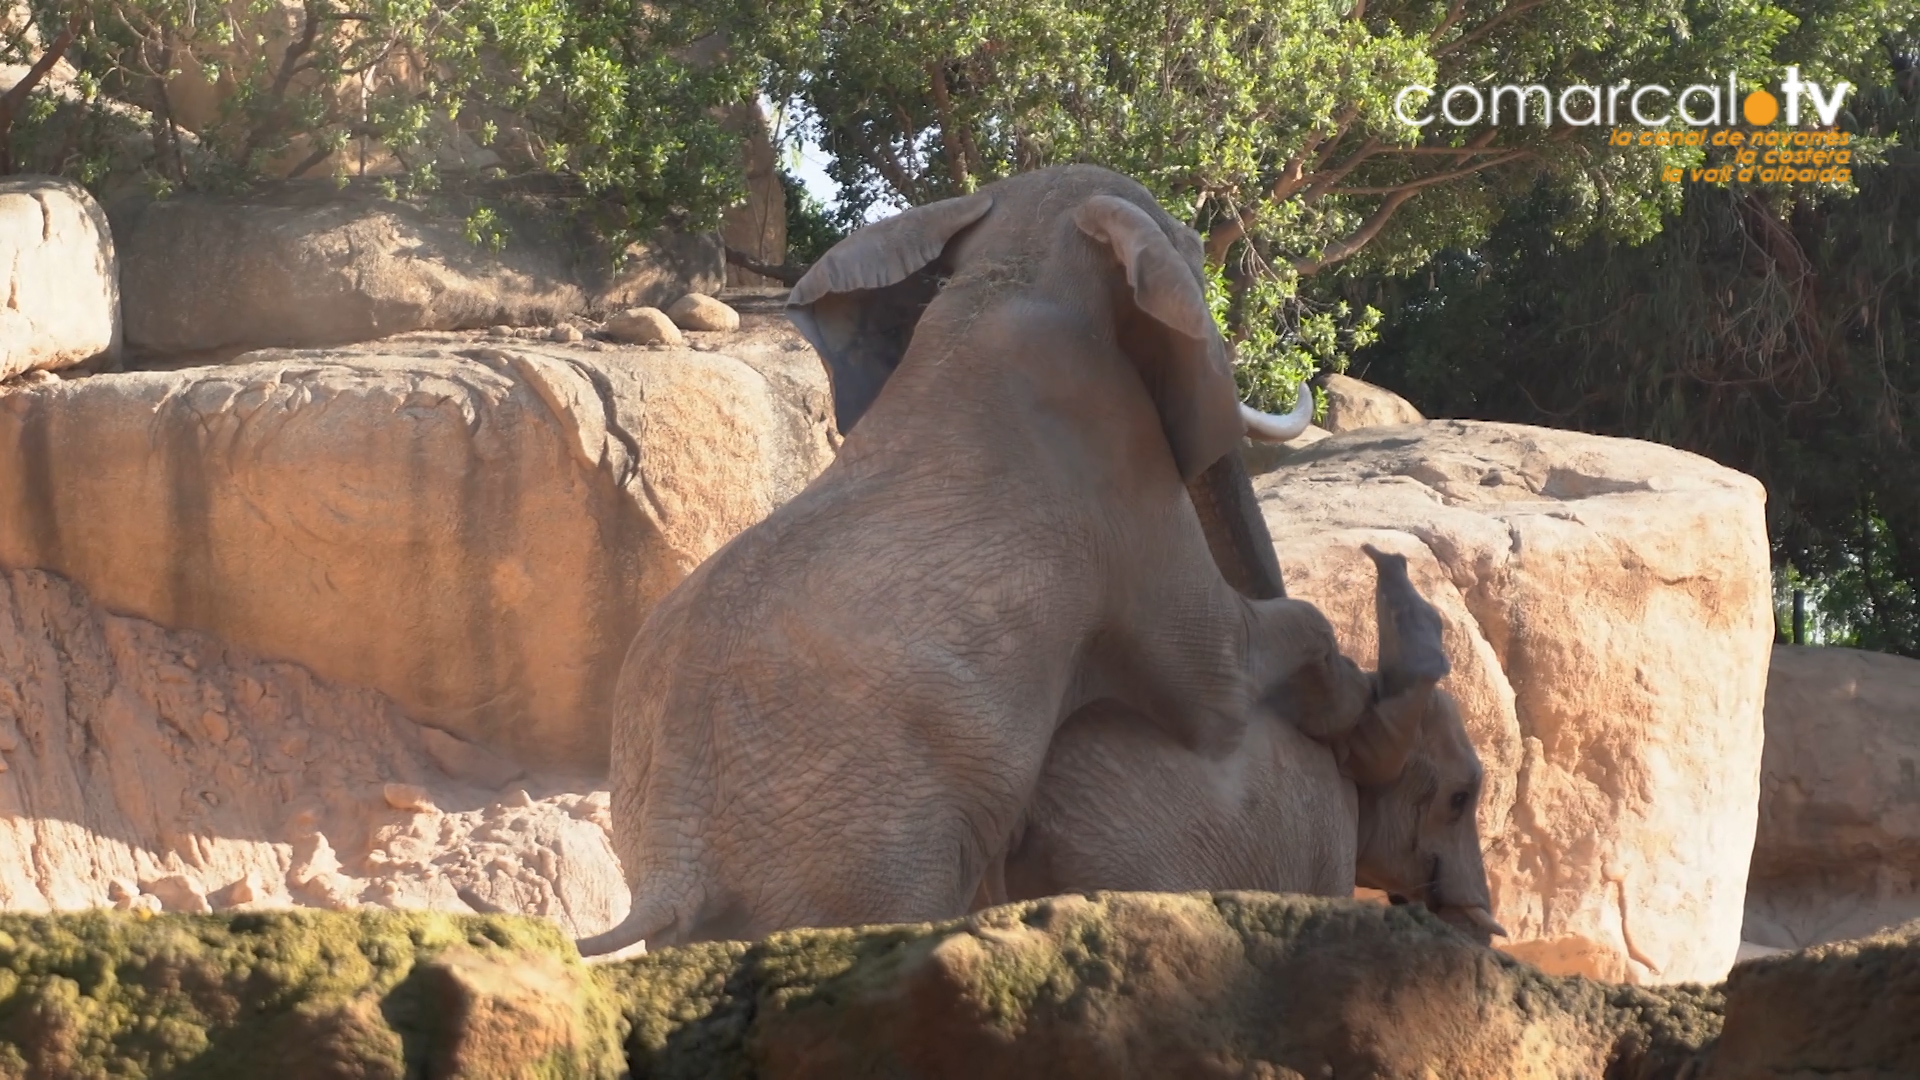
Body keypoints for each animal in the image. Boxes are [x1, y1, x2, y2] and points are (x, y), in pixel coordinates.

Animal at [576, 164, 1390, 953]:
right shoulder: (1117, 489)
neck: (1016, 267)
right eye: (1192, 249)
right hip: (855, 856)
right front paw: (1351, 704)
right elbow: (1219, 684)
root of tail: (673, 865)